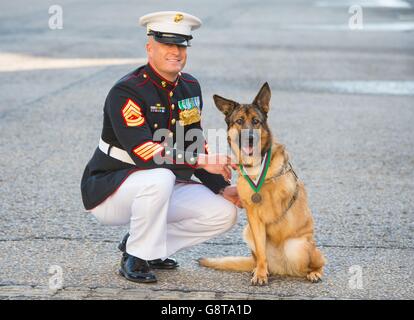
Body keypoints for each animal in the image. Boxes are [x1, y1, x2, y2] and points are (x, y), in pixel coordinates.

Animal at [199, 82, 326, 284]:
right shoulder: (253, 216)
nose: (250, 138)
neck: (255, 167)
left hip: (298, 246)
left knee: (319, 262)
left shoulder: (279, 202)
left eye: (256, 121)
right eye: (239, 121)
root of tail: (284, 268)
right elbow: (260, 250)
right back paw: (260, 269)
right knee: (259, 257)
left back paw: (314, 273)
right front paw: (260, 273)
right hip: (248, 233)